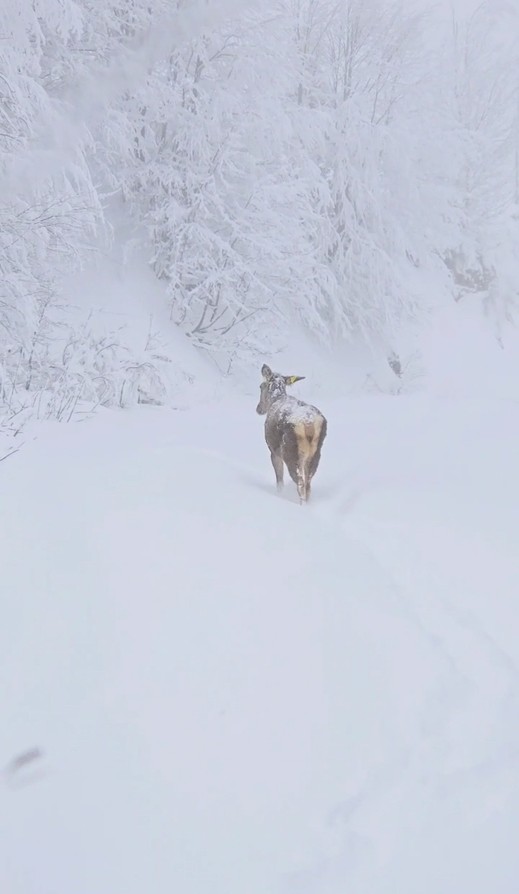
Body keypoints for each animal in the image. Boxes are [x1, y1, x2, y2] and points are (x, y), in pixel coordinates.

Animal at [256, 364, 328, 504]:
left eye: (261, 386)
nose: (258, 409)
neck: (276, 397)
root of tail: (308, 423)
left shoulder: (273, 450)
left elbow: (279, 480)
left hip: (290, 452)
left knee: (300, 483)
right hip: (315, 453)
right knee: (308, 484)